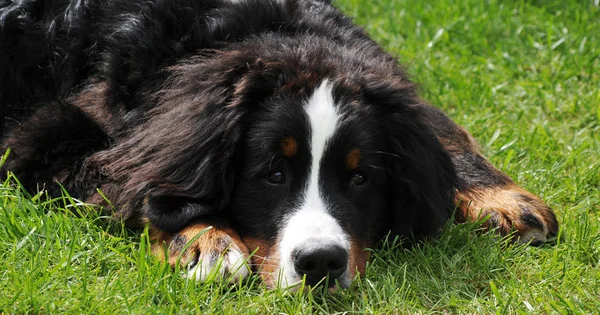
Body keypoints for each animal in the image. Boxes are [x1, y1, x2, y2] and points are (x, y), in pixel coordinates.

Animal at [0, 0, 556, 292]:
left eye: (360, 178)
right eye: (272, 174)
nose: (321, 263)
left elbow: (442, 128)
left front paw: (503, 198)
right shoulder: (47, 135)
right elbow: (135, 184)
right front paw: (206, 239)